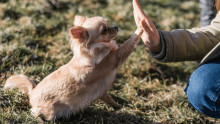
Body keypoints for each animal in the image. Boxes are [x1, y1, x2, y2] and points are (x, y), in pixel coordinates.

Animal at [4, 15, 143, 120]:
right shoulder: (117, 57)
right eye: (104, 30)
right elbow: (129, 43)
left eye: (108, 23)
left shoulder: (102, 91)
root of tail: (32, 92)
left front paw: (118, 106)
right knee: (37, 114)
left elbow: (109, 99)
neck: (97, 47)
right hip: (48, 111)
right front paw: (141, 26)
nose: (116, 27)